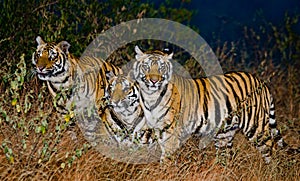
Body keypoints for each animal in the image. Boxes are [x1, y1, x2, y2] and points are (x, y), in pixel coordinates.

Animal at [132, 45, 288, 163]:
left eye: (161, 68)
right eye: (146, 66)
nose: (154, 81)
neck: (151, 96)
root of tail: (261, 81)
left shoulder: (171, 134)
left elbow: (166, 159)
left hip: (255, 127)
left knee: (269, 149)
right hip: (225, 133)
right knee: (226, 155)